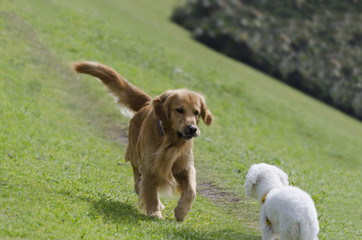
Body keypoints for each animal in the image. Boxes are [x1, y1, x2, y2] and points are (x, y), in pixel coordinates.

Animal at [72, 62, 212, 221]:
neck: (170, 141)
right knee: (138, 184)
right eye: (179, 110)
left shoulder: (185, 166)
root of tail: (148, 103)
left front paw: (181, 211)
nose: (192, 128)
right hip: (135, 155)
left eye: (196, 112)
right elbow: (151, 192)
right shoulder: (150, 166)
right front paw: (155, 213)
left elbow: (191, 190)